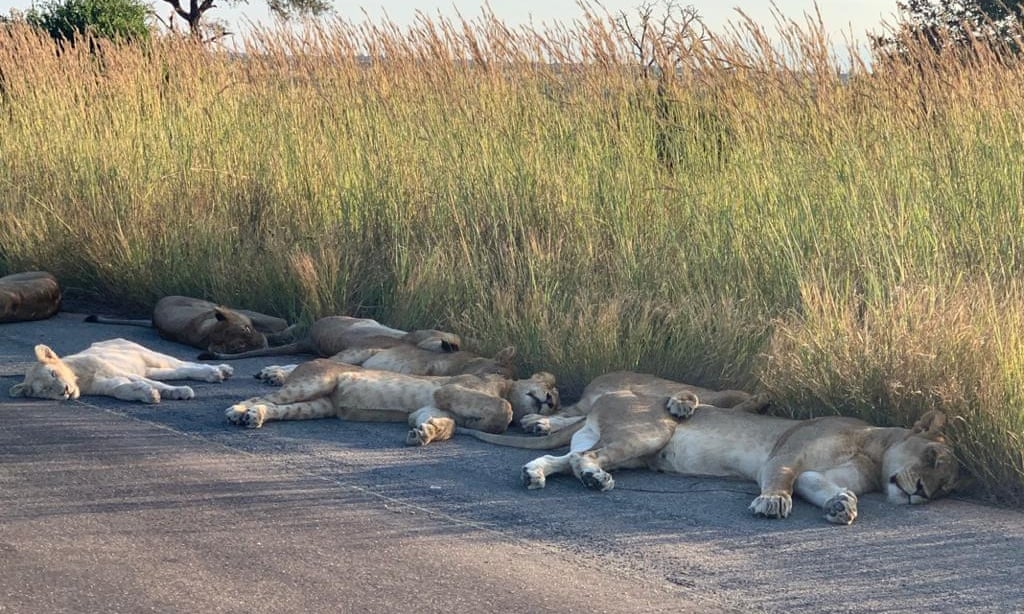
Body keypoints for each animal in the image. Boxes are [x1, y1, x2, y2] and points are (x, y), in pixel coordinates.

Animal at [9, 337, 234, 405]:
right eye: (45, 390)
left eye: (53, 374)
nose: (64, 391)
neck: (79, 379)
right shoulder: (107, 385)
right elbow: (121, 390)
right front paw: (148, 395)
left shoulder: (114, 369)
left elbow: (156, 384)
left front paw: (180, 392)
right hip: (150, 368)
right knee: (177, 371)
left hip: (149, 355)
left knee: (184, 364)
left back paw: (219, 371)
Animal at [226, 360, 561, 446]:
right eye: (550, 388)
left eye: (556, 403)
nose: (548, 401)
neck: (506, 387)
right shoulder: (448, 390)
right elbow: (505, 411)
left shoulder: (427, 408)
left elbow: (447, 425)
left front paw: (425, 434)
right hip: (315, 381)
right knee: (261, 396)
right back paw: (237, 411)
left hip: (317, 406)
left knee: (277, 408)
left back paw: (255, 417)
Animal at [464, 372, 958, 523]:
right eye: (931, 458)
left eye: (947, 487)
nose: (922, 493)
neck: (873, 452)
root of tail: (603, 400)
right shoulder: (788, 454)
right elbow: (780, 480)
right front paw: (773, 503)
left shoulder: (816, 474)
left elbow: (829, 489)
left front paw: (843, 506)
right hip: (650, 432)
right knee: (585, 457)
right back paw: (594, 479)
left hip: (628, 447)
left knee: (562, 456)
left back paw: (536, 472)